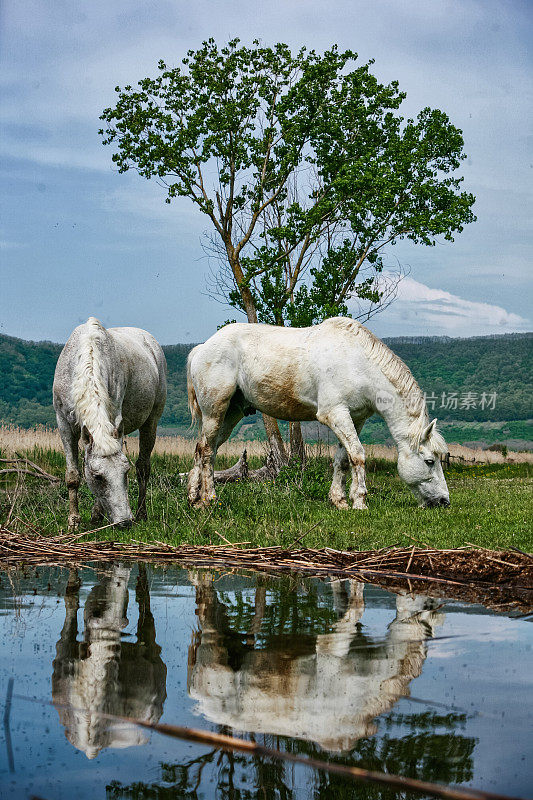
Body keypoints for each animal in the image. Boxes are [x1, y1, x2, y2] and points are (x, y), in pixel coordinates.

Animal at [53, 318, 166, 532]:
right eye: (97, 476)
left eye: (125, 472)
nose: (125, 522)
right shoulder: (64, 424)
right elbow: (72, 475)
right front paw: (74, 521)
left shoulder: (114, 420)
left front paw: (97, 515)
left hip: (151, 421)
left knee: (143, 468)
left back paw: (142, 513)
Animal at [187, 318, 448, 510]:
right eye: (429, 461)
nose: (444, 501)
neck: (358, 363)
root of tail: (202, 348)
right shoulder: (336, 414)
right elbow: (358, 455)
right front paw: (360, 502)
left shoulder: (355, 419)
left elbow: (343, 459)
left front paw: (339, 500)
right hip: (215, 412)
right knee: (207, 450)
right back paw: (210, 499)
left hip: (231, 415)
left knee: (203, 449)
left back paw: (194, 499)